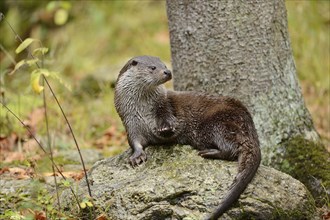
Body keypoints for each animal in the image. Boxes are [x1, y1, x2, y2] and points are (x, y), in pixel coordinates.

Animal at [114, 55, 262, 219]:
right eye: (152, 67)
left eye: (164, 65)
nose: (167, 72)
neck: (143, 109)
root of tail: (248, 122)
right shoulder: (130, 121)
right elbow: (134, 142)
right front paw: (137, 156)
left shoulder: (164, 105)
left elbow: (169, 117)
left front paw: (166, 128)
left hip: (216, 124)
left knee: (230, 149)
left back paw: (208, 152)